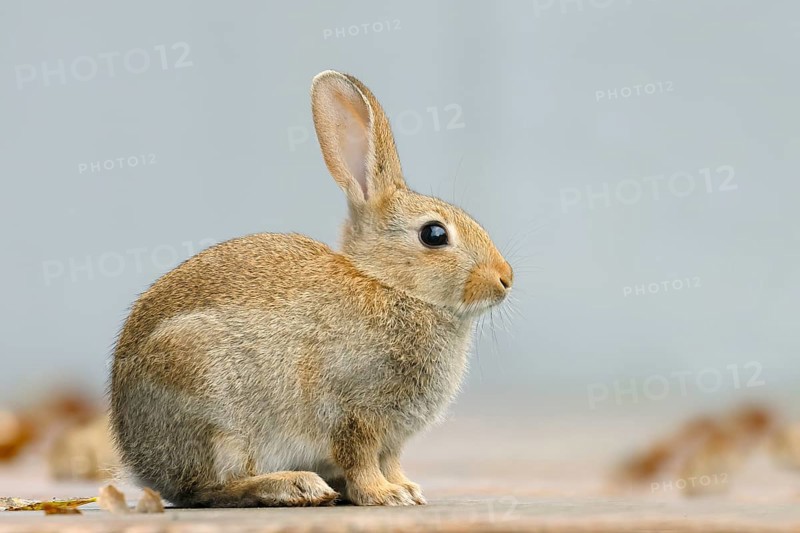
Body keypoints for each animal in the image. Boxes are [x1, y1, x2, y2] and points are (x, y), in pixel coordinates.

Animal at [109, 70, 513, 508]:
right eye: (434, 234)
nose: (505, 279)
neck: (388, 284)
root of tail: (139, 457)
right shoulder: (352, 414)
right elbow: (361, 460)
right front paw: (384, 495)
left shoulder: (390, 438)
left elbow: (389, 461)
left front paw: (405, 488)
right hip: (213, 409)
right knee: (209, 489)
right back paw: (294, 485)